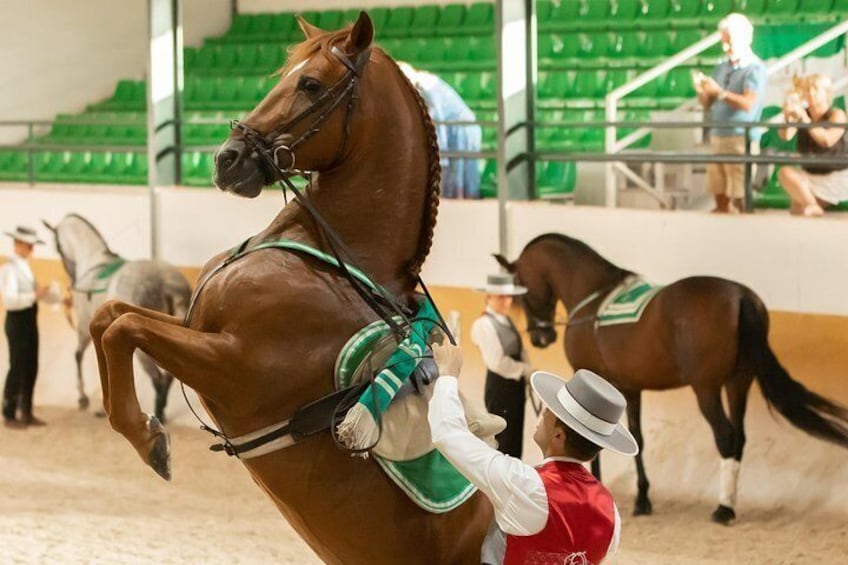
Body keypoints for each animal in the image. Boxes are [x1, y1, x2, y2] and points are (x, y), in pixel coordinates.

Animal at [41, 213, 192, 418]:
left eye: (57, 245)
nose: (71, 278)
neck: (94, 264)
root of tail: (166, 283)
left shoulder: (85, 326)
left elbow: (78, 355)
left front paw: (83, 398)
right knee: (168, 377)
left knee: (158, 379)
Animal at [88, 13, 490, 564]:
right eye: (283, 75)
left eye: (311, 84)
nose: (227, 158)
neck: (331, 257)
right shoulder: (196, 324)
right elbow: (107, 315)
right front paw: (141, 427)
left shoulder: (235, 363)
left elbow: (124, 327)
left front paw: (149, 438)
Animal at [496, 234, 848, 524]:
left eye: (521, 290)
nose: (541, 337)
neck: (591, 296)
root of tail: (742, 297)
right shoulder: (629, 388)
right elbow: (637, 436)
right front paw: (642, 499)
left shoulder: (595, 378)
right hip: (738, 383)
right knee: (740, 437)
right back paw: (730, 501)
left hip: (706, 389)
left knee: (726, 436)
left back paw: (723, 509)